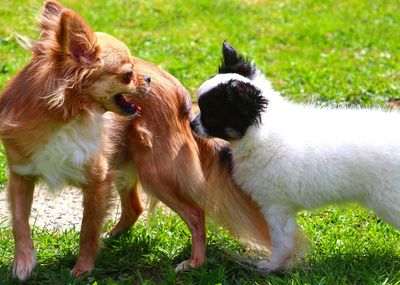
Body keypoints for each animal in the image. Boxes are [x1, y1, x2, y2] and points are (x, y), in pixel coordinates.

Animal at [190, 41, 400, 270]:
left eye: (210, 115)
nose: (191, 124)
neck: (263, 134)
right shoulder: (283, 209)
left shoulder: (276, 206)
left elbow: (282, 241)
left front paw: (271, 265)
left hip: (390, 202)